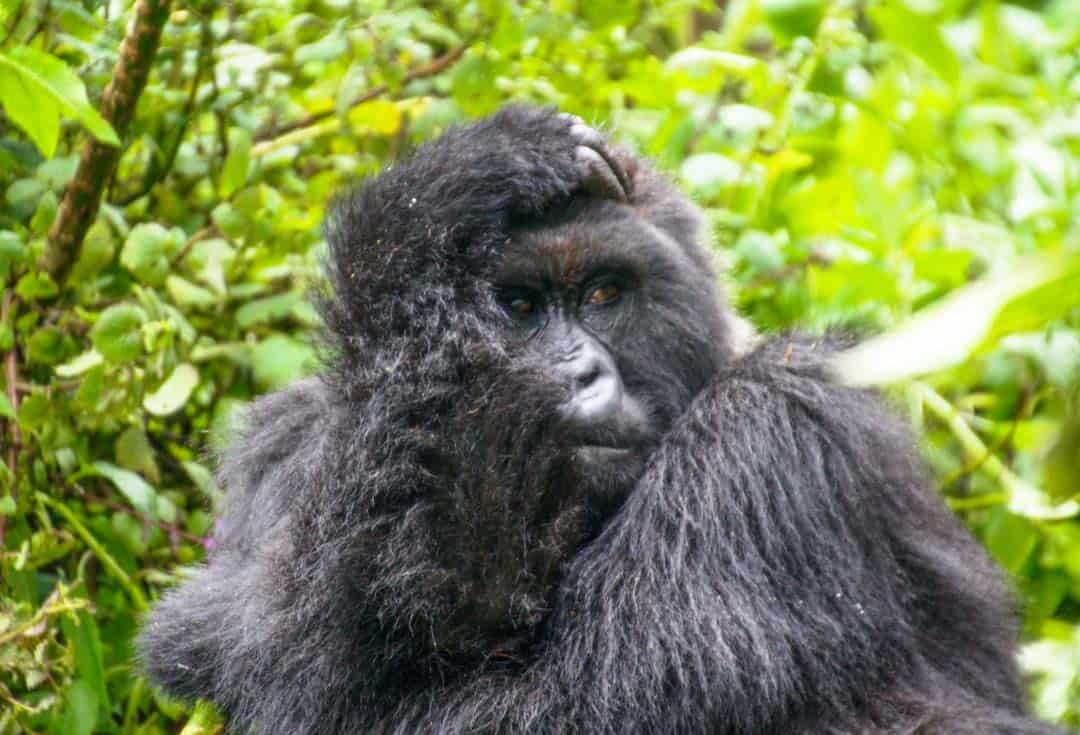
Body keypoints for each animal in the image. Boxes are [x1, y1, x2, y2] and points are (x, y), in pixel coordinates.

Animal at [137, 107, 1054, 733]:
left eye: (604, 294)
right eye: (517, 305)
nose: (576, 373)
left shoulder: (784, 416)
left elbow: (569, 700)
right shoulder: (290, 443)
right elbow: (249, 642)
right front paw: (428, 211)